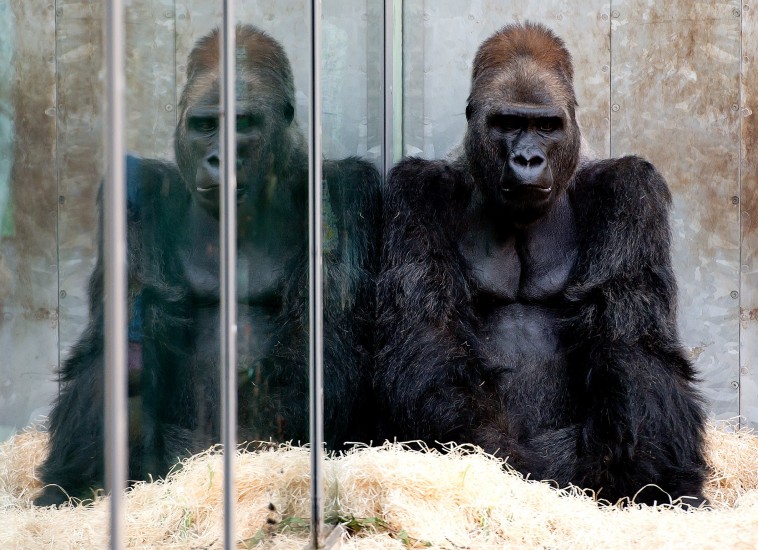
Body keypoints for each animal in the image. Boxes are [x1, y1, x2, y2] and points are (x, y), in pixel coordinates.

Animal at [35, 25, 380, 508]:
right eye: (205, 126)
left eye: (242, 124)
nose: (220, 158)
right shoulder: (137, 191)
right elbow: (132, 319)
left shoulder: (341, 190)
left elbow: (325, 339)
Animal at [378, 22, 708, 508]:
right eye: (508, 123)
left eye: (546, 126)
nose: (528, 159)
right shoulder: (416, 191)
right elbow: (427, 332)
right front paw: (505, 459)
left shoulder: (631, 190)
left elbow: (632, 342)